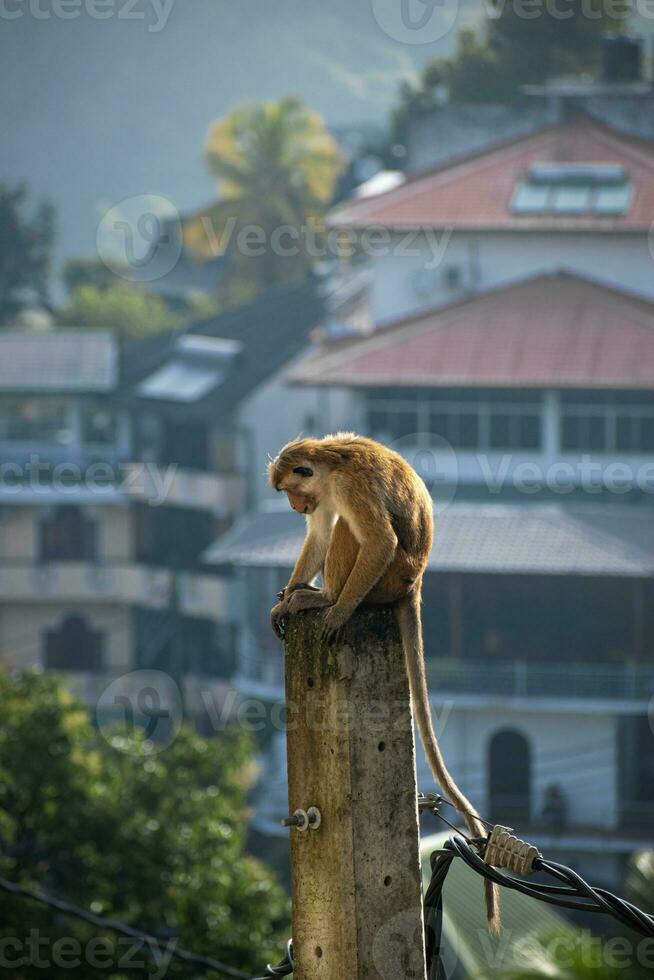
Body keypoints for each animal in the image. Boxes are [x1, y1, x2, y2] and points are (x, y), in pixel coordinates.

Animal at [270, 432, 502, 932]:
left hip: (387, 578)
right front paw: (285, 598)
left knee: (354, 534)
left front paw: (334, 610)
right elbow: (318, 535)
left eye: (290, 490)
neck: (328, 469)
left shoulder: (350, 488)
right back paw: (301, 595)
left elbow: (376, 539)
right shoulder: (325, 496)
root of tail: (413, 585)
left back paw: (323, 599)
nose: (294, 507)